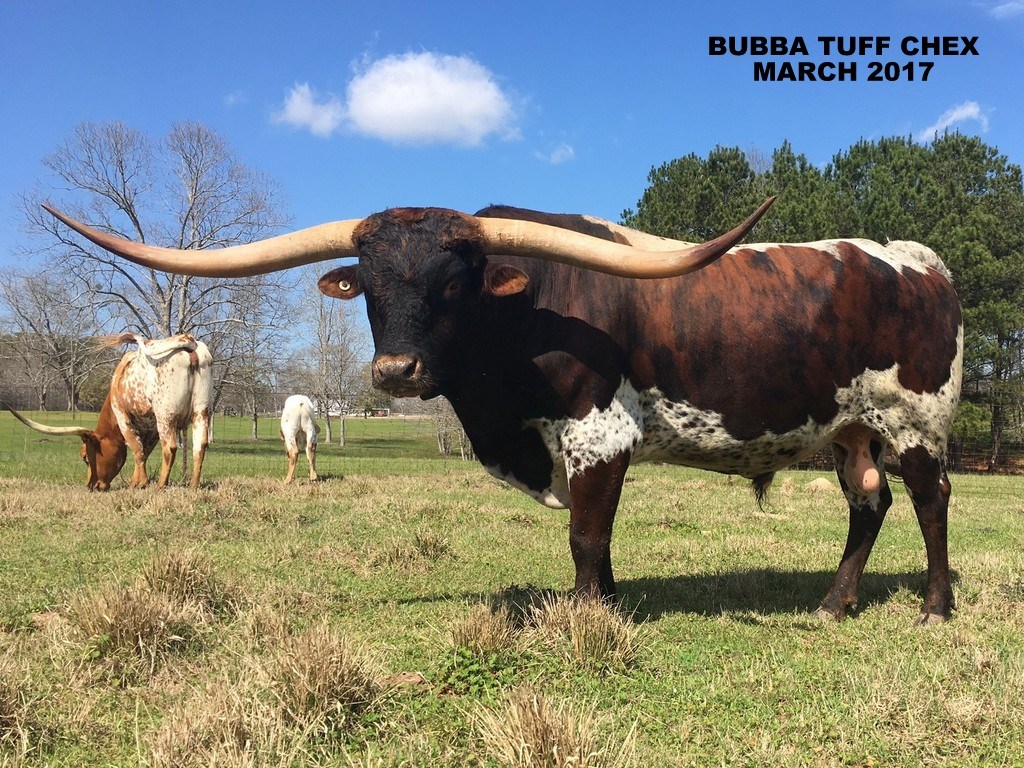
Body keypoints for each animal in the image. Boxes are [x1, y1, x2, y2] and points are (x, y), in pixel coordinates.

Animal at [1, 332, 212, 490]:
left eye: (85, 457)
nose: (91, 486)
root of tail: (189, 342)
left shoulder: (123, 415)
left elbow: (136, 449)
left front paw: (140, 483)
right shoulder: (150, 427)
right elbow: (143, 451)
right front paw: (136, 481)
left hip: (166, 414)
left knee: (170, 447)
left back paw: (161, 485)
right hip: (201, 411)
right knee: (199, 446)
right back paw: (193, 485)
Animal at [41, 200, 963, 624]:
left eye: (455, 282)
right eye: (369, 287)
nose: (397, 370)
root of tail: (917, 259)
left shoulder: (599, 435)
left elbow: (586, 536)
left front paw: (588, 618)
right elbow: (597, 542)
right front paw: (606, 604)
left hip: (916, 423)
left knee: (930, 503)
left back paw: (934, 607)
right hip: (851, 431)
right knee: (870, 503)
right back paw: (833, 603)